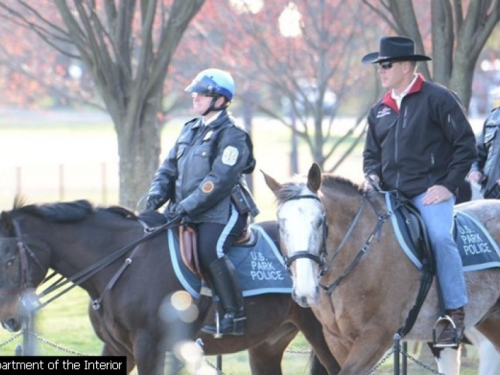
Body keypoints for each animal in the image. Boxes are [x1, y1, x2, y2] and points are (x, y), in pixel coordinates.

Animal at [0, 198, 340, 374]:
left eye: (9, 260)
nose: (8, 319)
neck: (121, 262)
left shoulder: (149, 347)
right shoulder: (118, 348)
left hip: (323, 337)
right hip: (267, 346)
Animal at [264, 164, 500, 375]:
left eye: (319, 222)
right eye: (280, 225)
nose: (304, 291)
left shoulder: (375, 337)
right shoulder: (337, 340)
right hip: (490, 319)